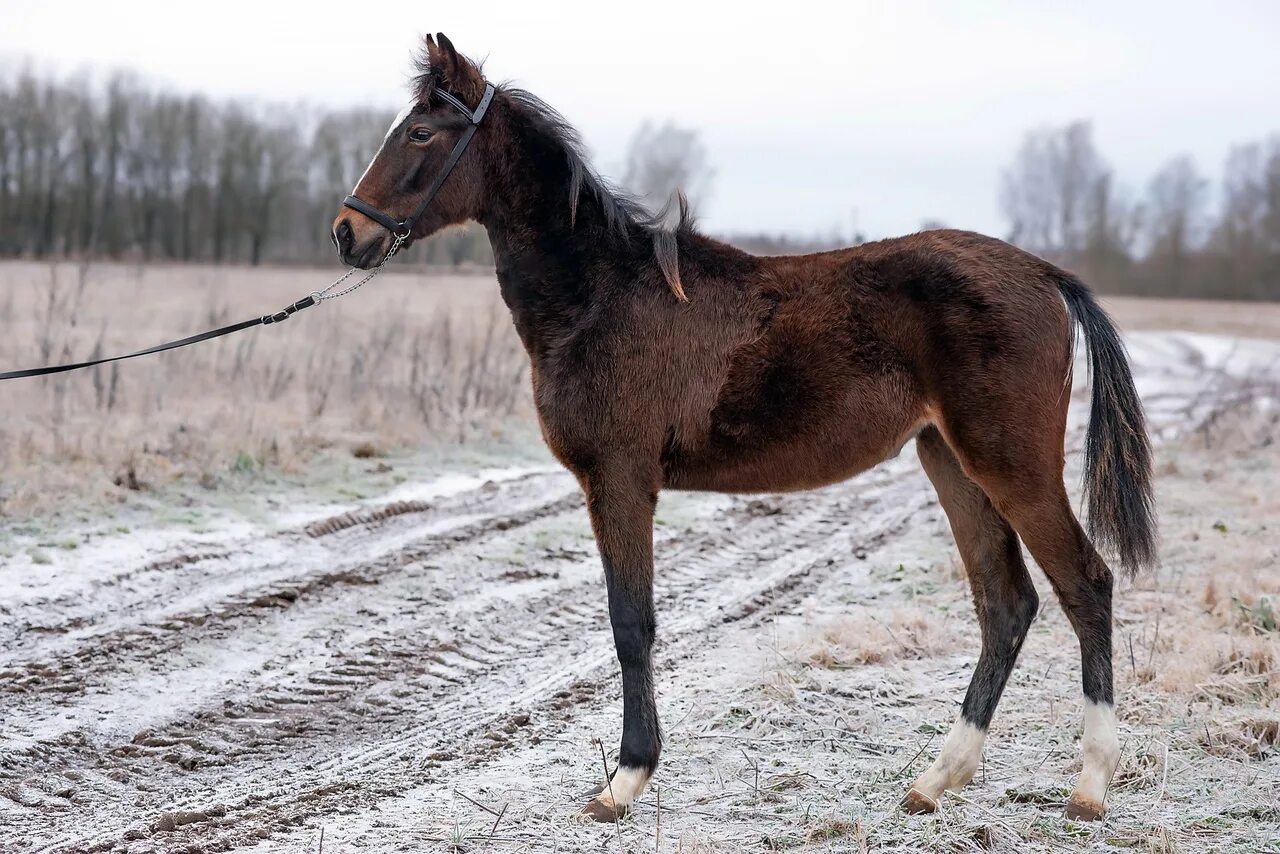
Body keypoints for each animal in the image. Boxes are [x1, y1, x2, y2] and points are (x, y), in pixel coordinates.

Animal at [332, 35, 1162, 829]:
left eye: (420, 132)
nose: (346, 231)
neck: (601, 294)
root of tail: (1046, 275)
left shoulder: (619, 480)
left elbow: (630, 623)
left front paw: (624, 782)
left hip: (1010, 465)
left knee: (1084, 585)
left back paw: (1089, 787)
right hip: (952, 463)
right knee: (1005, 604)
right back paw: (936, 780)